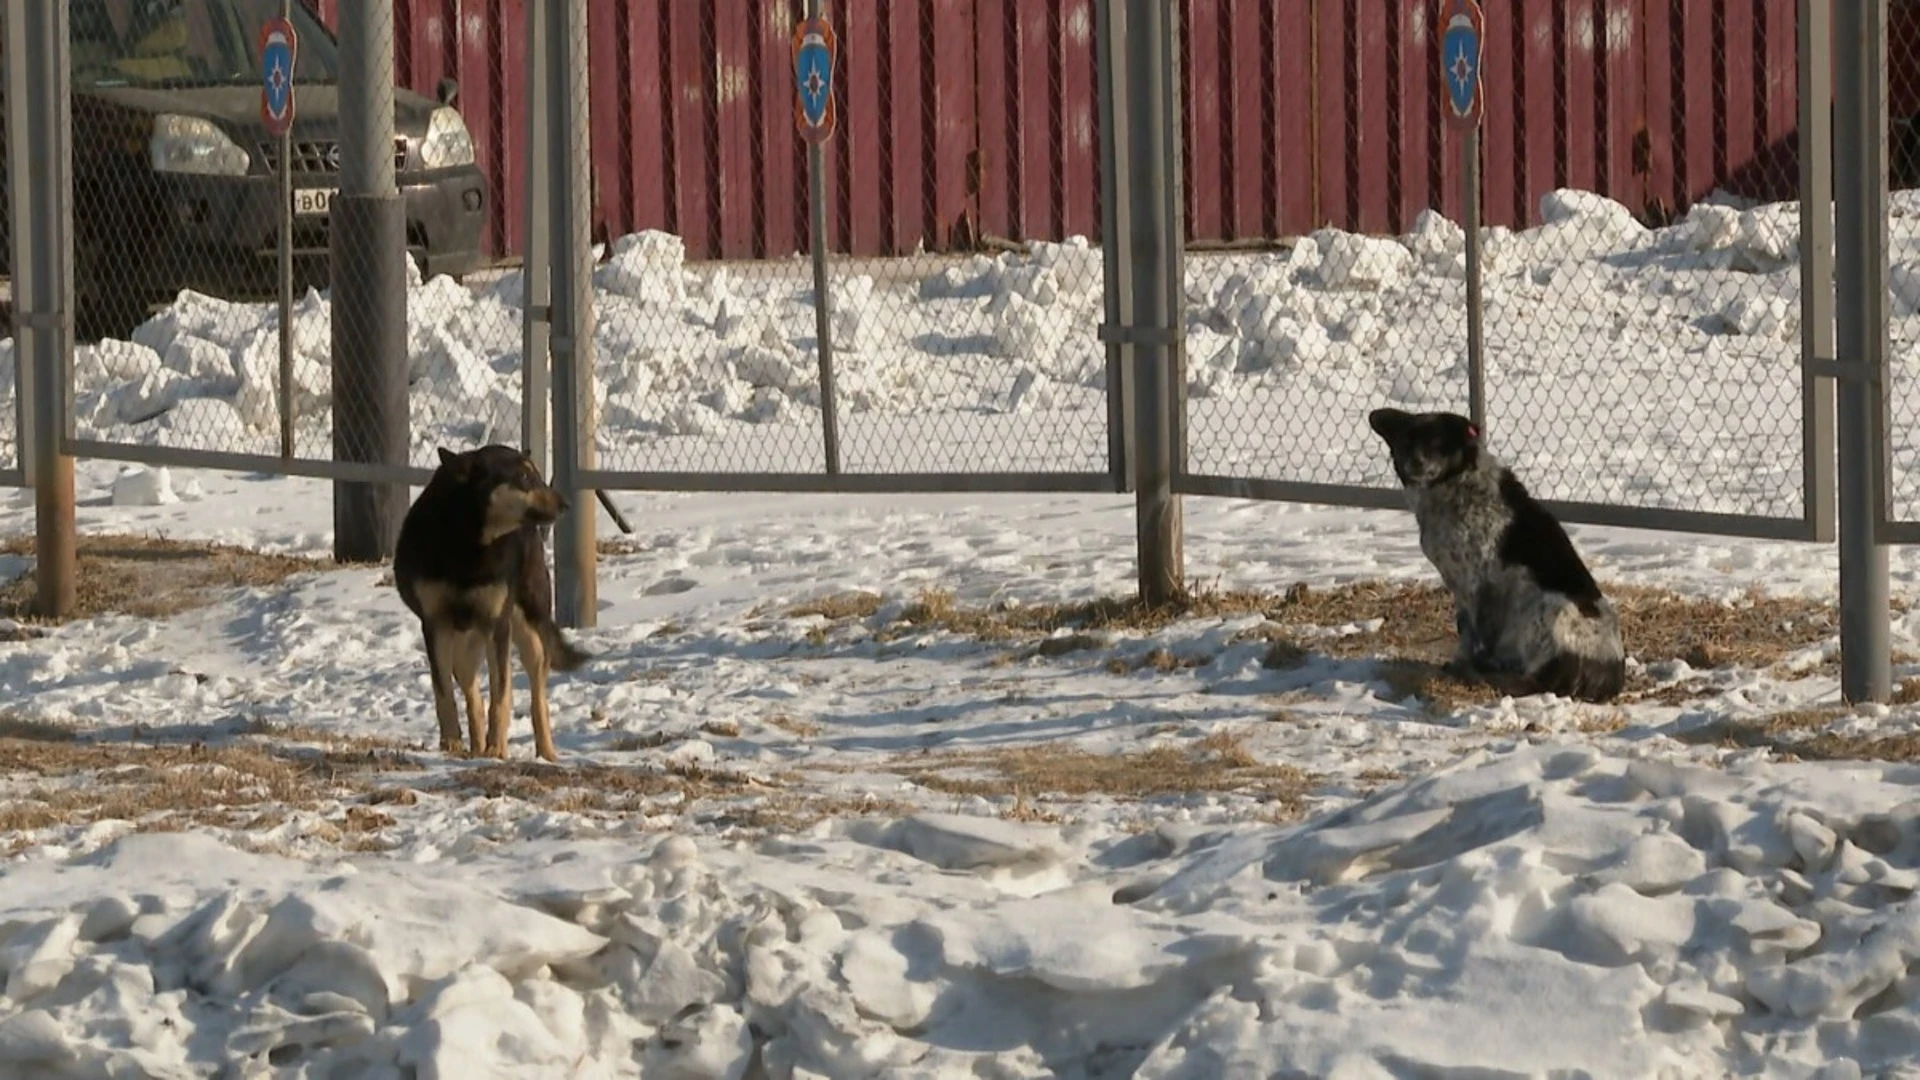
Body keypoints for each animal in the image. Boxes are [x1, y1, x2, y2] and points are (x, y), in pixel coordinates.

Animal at [393, 441, 587, 760]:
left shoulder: (498, 625)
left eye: (536, 474)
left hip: (529, 630)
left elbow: (501, 695)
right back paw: (475, 746)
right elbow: (444, 694)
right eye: (523, 476)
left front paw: (496, 748)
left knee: (537, 699)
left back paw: (546, 754)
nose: (566, 504)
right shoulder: (435, 625)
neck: (470, 542)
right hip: (463, 648)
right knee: (472, 696)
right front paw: (451, 743)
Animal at [1367, 407, 1620, 703]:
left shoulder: (1479, 582)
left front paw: (1466, 666)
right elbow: (1465, 632)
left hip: (1545, 604)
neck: (1456, 484)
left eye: (1437, 442)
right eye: (1407, 440)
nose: (1416, 462)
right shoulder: (1460, 587)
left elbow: (1475, 635)